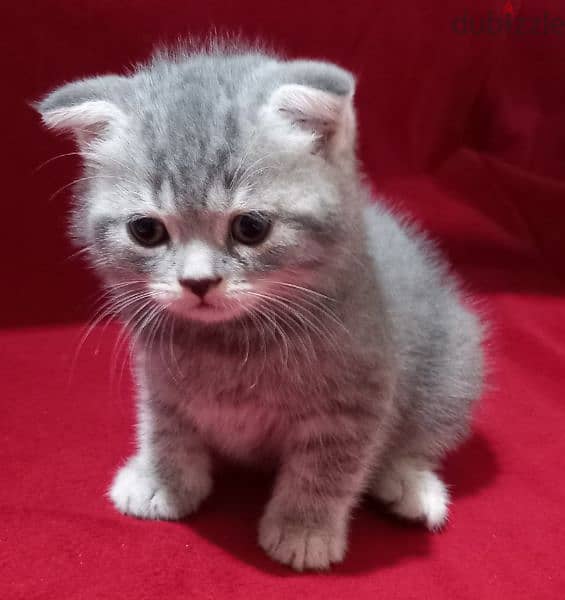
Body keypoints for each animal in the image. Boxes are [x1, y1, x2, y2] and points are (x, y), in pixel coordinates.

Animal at [37, 43, 482, 572]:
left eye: (250, 228)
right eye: (146, 231)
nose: (198, 282)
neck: (230, 344)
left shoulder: (359, 392)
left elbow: (328, 463)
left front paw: (304, 527)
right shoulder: (159, 376)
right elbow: (165, 428)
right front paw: (164, 481)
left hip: (455, 365)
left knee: (422, 436)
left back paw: (409, 485)